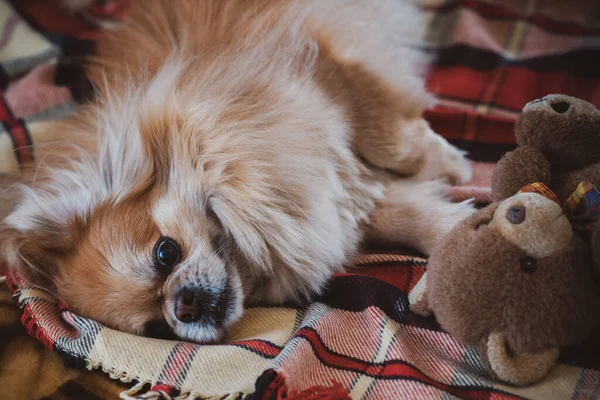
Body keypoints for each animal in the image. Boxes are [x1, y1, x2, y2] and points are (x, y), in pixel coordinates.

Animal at [2, 0, 476, 344]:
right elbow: (414, 218)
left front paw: (452, 164)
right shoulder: (338, 195)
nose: (184, 306)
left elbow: (396, 143)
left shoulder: (334, 69)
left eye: (165, 253)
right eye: (158, 328)